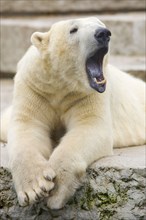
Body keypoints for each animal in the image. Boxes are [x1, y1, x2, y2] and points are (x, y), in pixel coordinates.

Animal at [0, 16, 145, 209]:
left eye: (102, 24)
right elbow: (28, 126)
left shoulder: (85, 95)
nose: (103, 33)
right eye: (73, 29)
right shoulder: (34, 87)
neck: (61, 83)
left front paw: (56, 190)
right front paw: (35, 188)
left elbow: (90, 127)